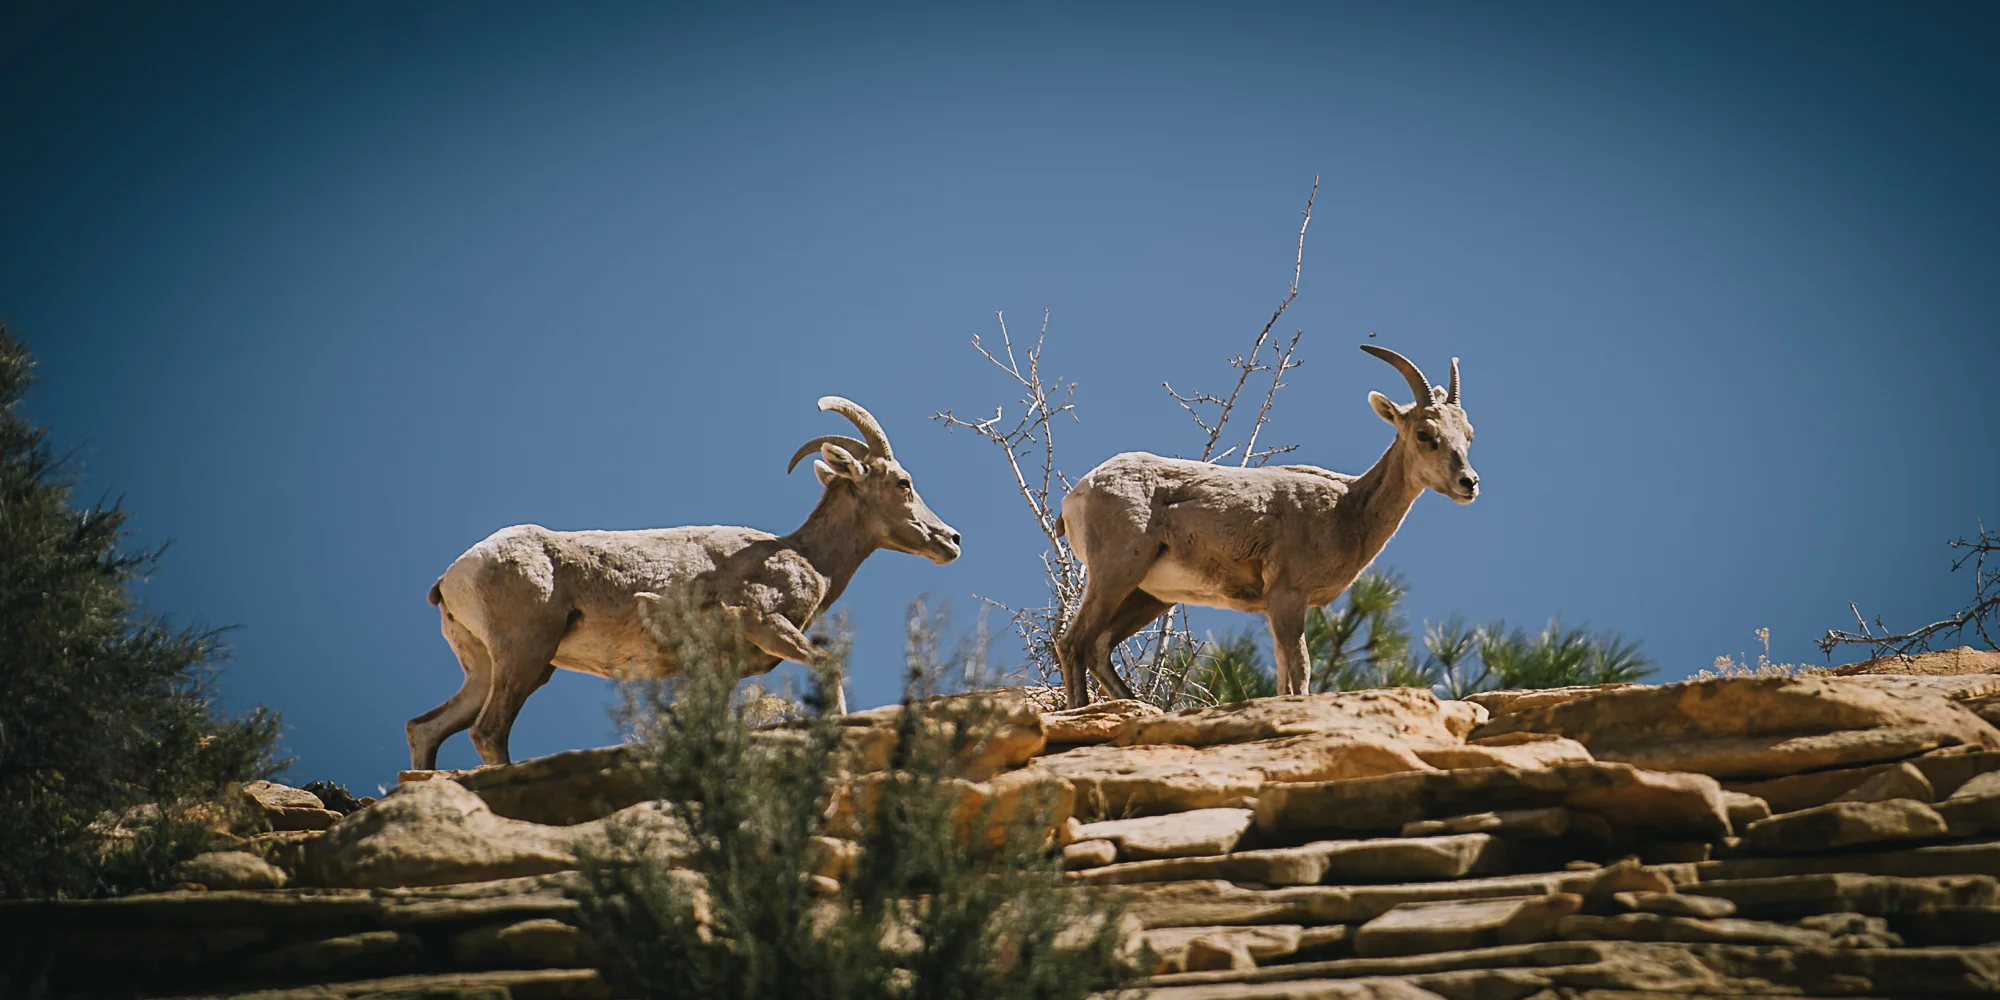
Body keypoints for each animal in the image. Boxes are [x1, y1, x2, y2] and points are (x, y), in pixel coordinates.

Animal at [406, 396, 961, 769]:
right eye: (902, 483)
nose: (951, 540)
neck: (806, 558)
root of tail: (452, 578)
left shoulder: (716, 668)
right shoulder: (766, 623)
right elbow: (829, 666)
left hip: (487, 669)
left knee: (425, 729)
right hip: (524, 656)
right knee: (488, 732)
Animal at [1052, 345, 1478, 707]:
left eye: (1469, 435)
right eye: (1424, 434)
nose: (1468, 483)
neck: (1347, 507)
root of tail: (1078, 494)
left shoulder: (1278, 605)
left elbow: (1284, 677)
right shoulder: (1287, 595)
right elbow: (1299, 672)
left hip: (1149, 594)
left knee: (1099, 646)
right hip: (1117, 572)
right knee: (1073, 642)